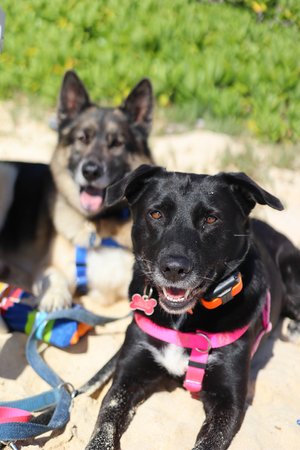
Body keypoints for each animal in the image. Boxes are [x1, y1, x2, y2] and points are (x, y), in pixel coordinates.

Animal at [0, 71, 154, 316]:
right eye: (82, 138)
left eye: (117, 143)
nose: (90, 171)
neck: (98, 224)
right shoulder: (48, 267)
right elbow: (54, 277)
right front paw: (54, 297)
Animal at [86, 166, 300, 450]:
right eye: (156, 213)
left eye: (211, 219)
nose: (174, 269)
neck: (183, 322)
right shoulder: (127, 376)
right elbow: (106, 417)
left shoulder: (228, 400)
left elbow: (209, 441)